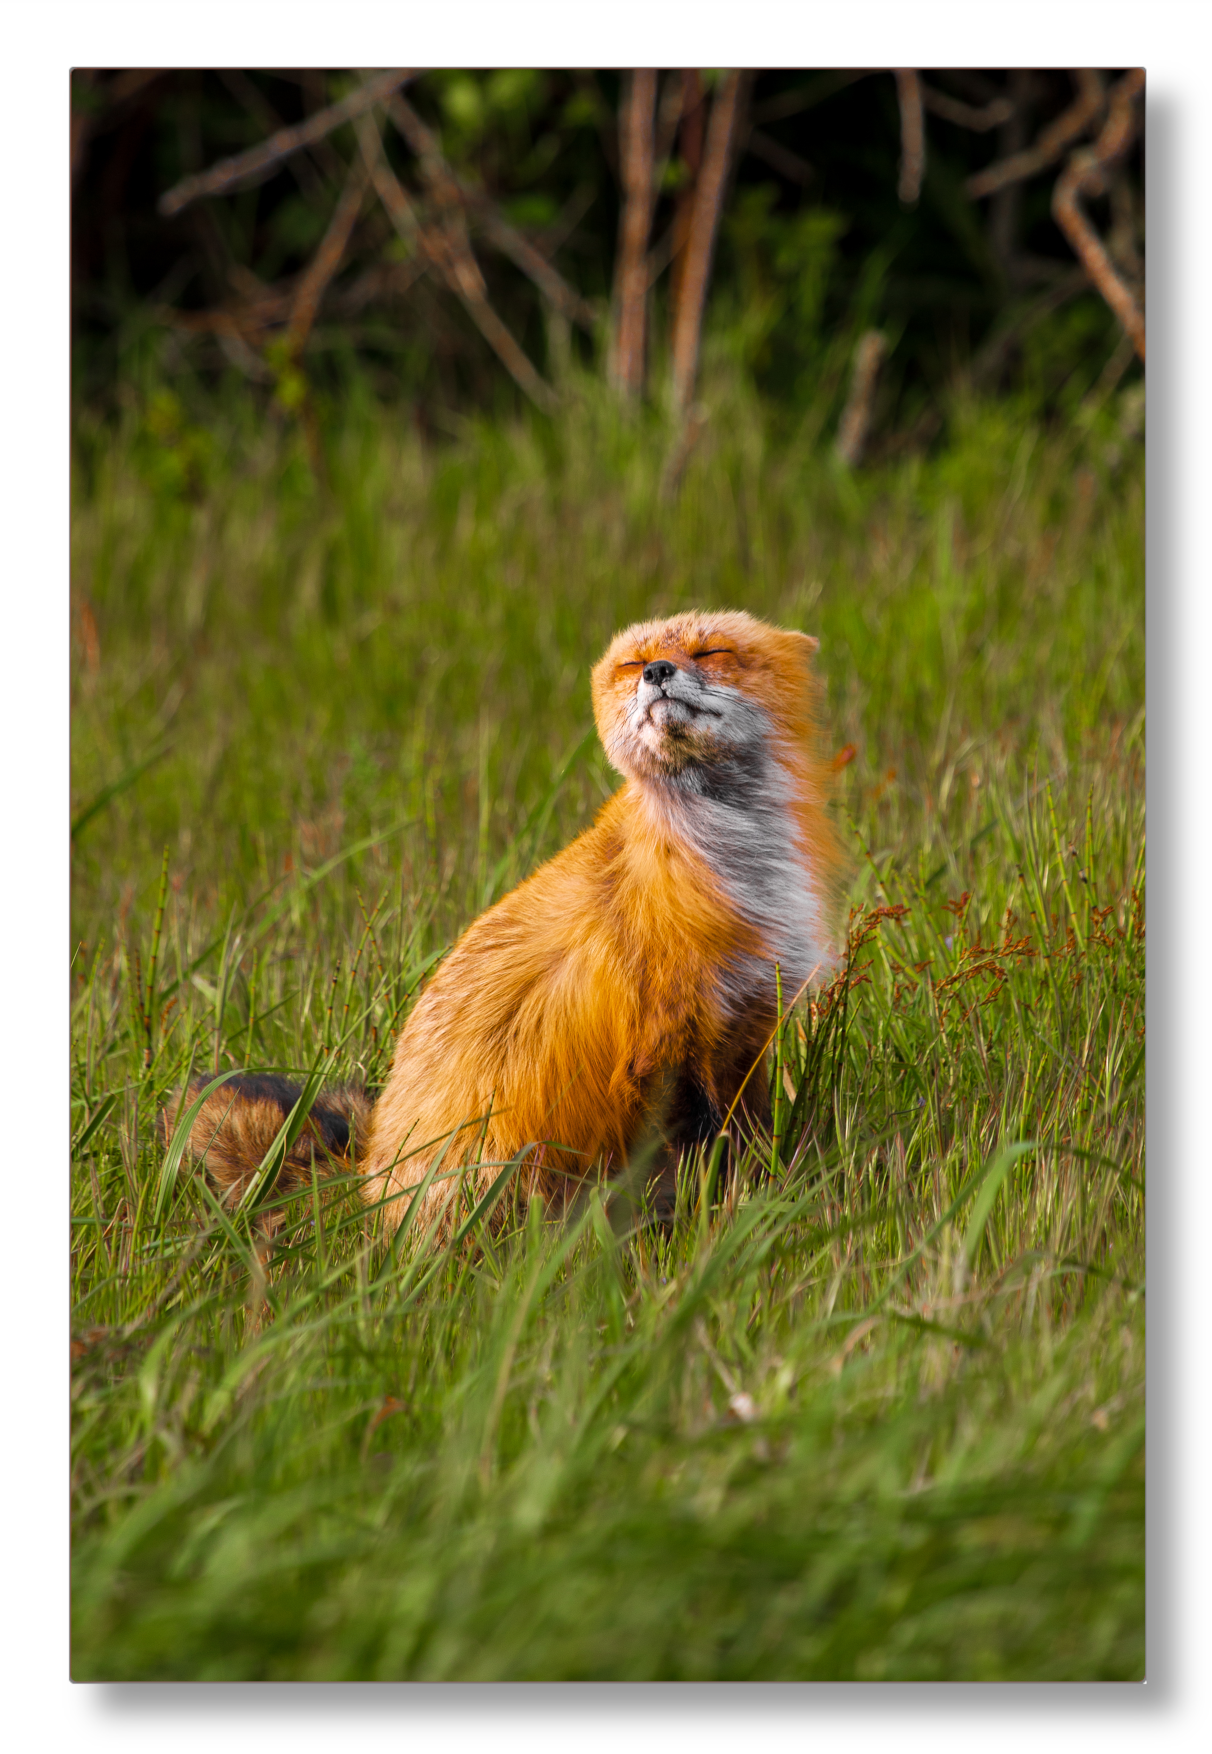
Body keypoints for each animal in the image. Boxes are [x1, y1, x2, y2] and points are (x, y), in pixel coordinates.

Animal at [163, 610, 845, 1241]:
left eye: (711, 651)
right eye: (632, 663)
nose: (656, 673)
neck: (732, 863)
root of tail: (368, 1183)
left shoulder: (745, 1028)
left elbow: (752, 1141)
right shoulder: (664, 1042)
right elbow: (705, 1160)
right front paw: (723, 1222)